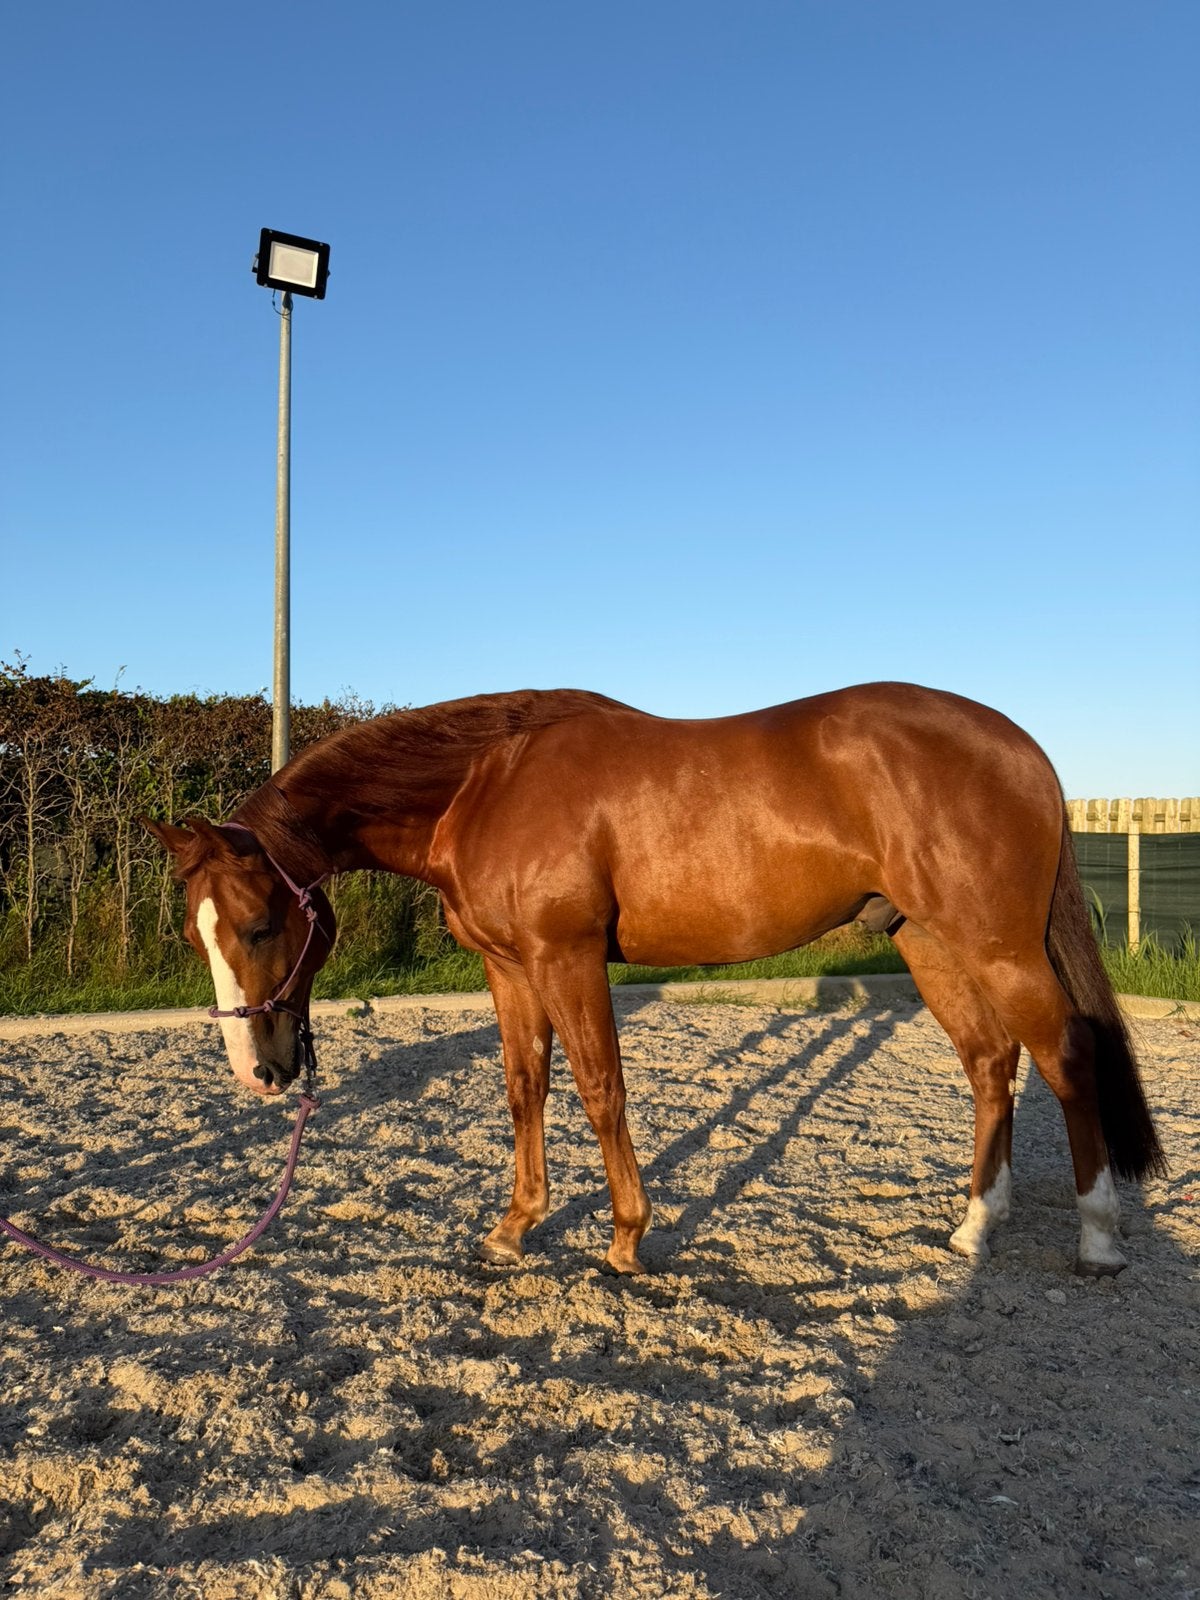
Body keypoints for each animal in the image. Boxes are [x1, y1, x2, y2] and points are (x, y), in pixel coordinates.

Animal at [144, 681, 1165, 1279]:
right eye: (199, 935)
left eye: (259, 925)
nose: (260, 1071)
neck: (484, 781)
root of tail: (1022, 747)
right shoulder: (509, 967)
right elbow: (524, 1088)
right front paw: (516, 1226)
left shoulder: (565, 957)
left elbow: (602, 1088)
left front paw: (627, 1238)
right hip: (929, 943)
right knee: (992, 1063)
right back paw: (974, 1227)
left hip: (996, 945)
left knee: (1066, 1056)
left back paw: (1098, 1239)